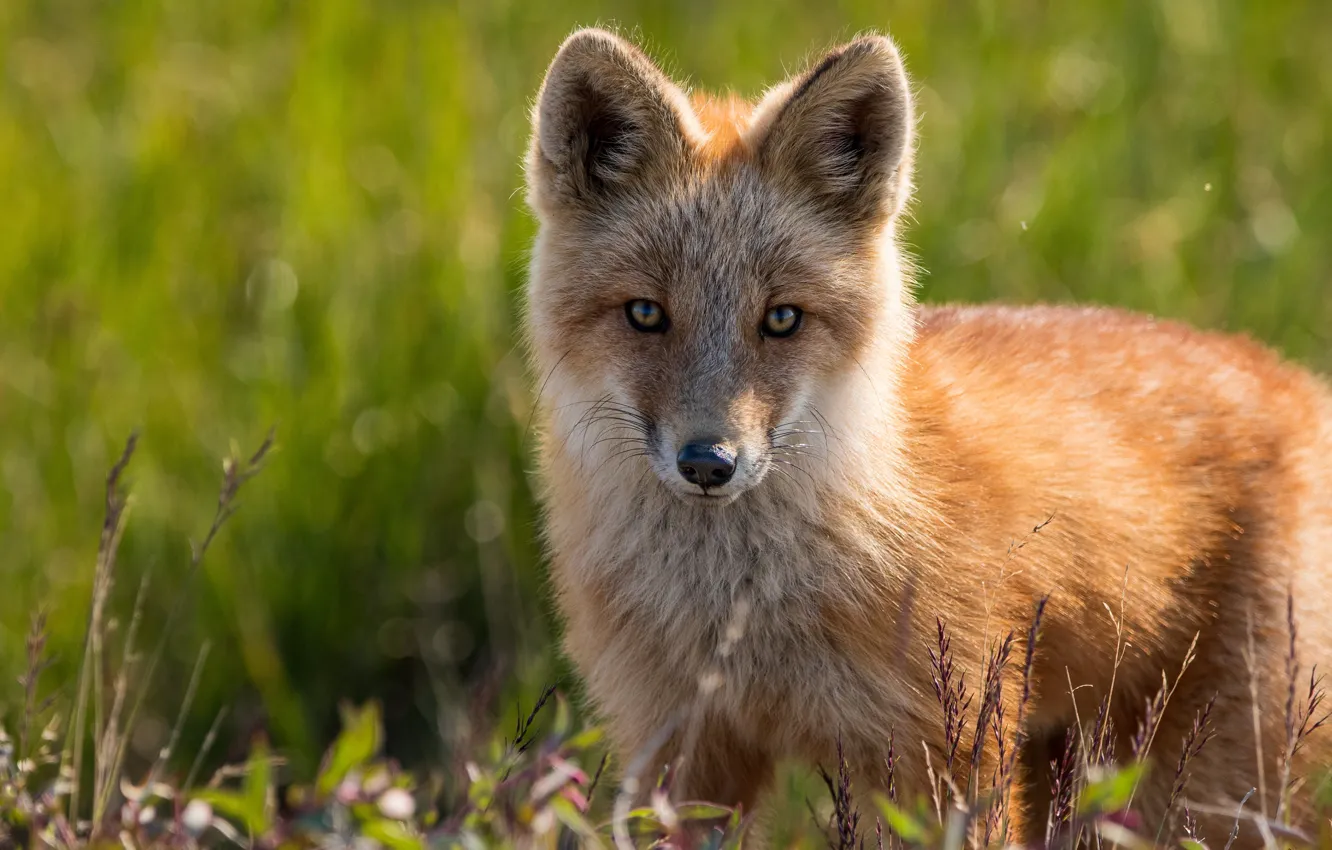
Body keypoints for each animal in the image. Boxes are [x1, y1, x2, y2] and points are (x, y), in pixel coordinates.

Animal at [521, 27, 1332, 846]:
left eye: (781, 318)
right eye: (645, 314)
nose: (709, 462)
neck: (741, 613)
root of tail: (1298, 380)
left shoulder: (949, 753)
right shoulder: (680, 754)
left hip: (1212, 790)